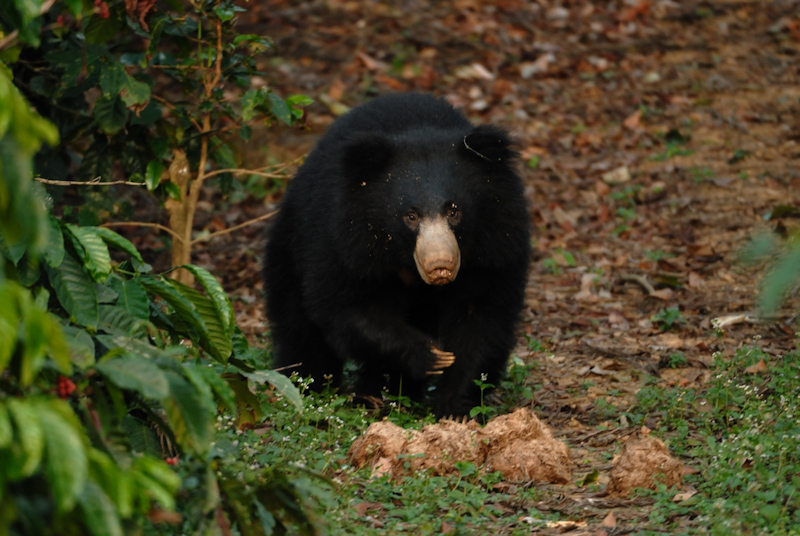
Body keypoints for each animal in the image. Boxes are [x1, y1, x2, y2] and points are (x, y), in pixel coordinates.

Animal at [264, 93, 532, 418]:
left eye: (453, 211)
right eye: (411, 216)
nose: (440, 265)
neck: (404, 259)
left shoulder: (495, 248)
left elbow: (482, 317)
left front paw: (455, 408)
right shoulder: (345, 244)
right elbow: (345, 306)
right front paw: (431, 356)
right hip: (290, 244)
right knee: (299, 329)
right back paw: (311, 387)